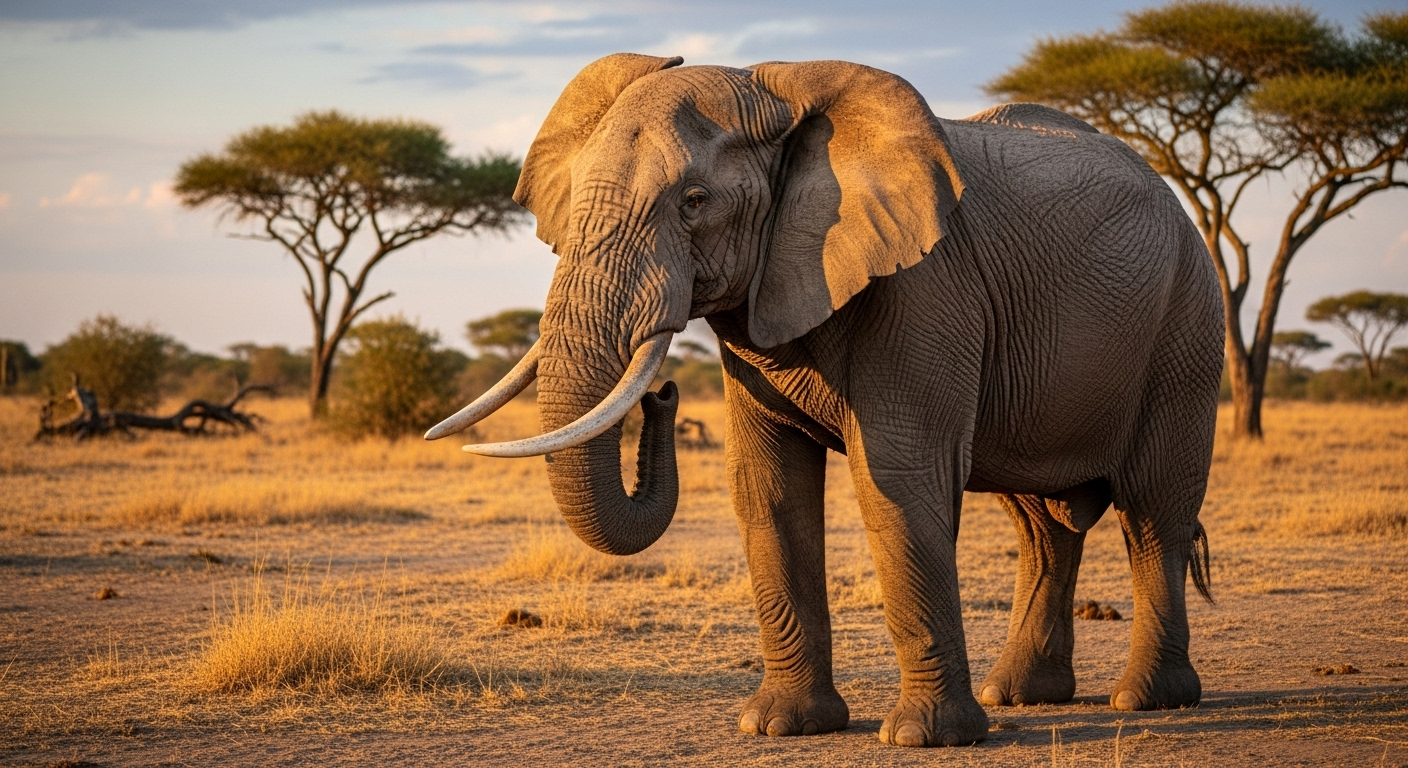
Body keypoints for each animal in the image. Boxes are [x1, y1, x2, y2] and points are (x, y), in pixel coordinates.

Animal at [427, 53, 1223, 748]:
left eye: (694, 202)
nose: (663, 395)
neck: (781, 101)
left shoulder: (927, 288)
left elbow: (898, 478)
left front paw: (924, 740)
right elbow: (768, 485)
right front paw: (780, 727)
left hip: (1187, 322)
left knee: (1154, 511)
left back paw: (1145, 700)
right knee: (1042, 522)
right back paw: (1020, 696)